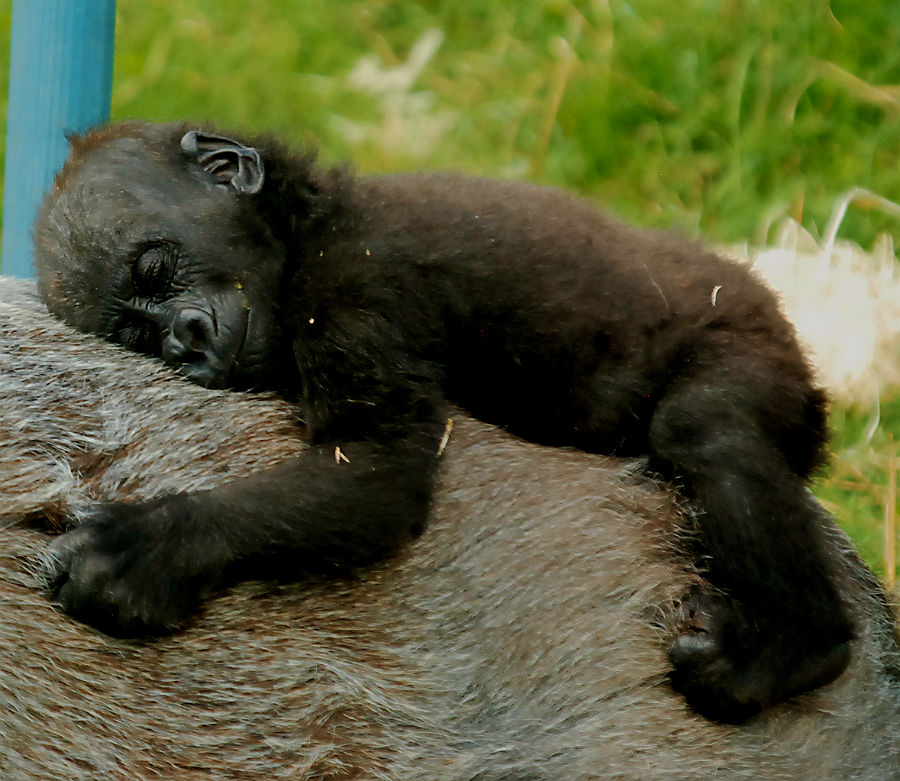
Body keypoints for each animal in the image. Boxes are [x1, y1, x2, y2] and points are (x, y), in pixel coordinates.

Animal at [32, 120, 852, 722]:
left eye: (154, 270)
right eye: (135, 336)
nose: (185, 341)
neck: (306, 224)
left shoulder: (360, 279)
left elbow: (379, 467)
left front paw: (155, 547)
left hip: (752, 334)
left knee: (702, 427)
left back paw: (798, 646)